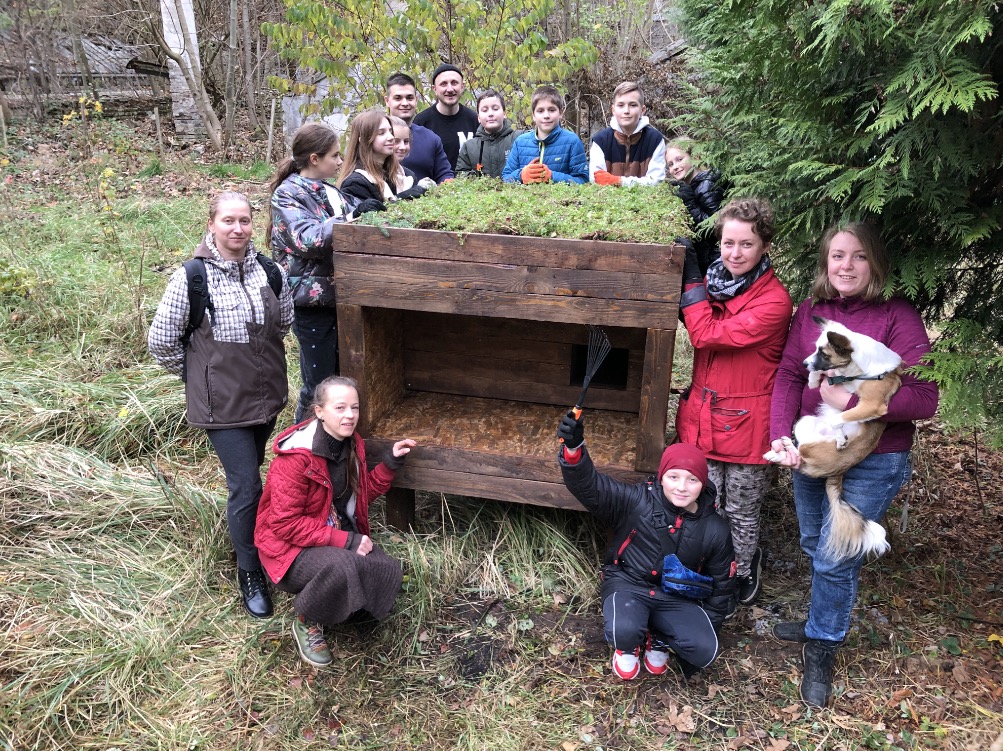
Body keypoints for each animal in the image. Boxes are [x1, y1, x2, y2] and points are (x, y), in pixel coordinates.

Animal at [766, 314, 902, 557]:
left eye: (824, 353)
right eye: (815, 349)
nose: (803, 364)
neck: (857, 371)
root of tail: (839, 470)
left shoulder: (872, 405)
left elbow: (839, 418)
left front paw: (840, 437)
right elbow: (823, 377)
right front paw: (812, 379)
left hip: (813, 446)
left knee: (802, 453)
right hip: (805, 422)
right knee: (797, 453)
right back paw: (781, 449)